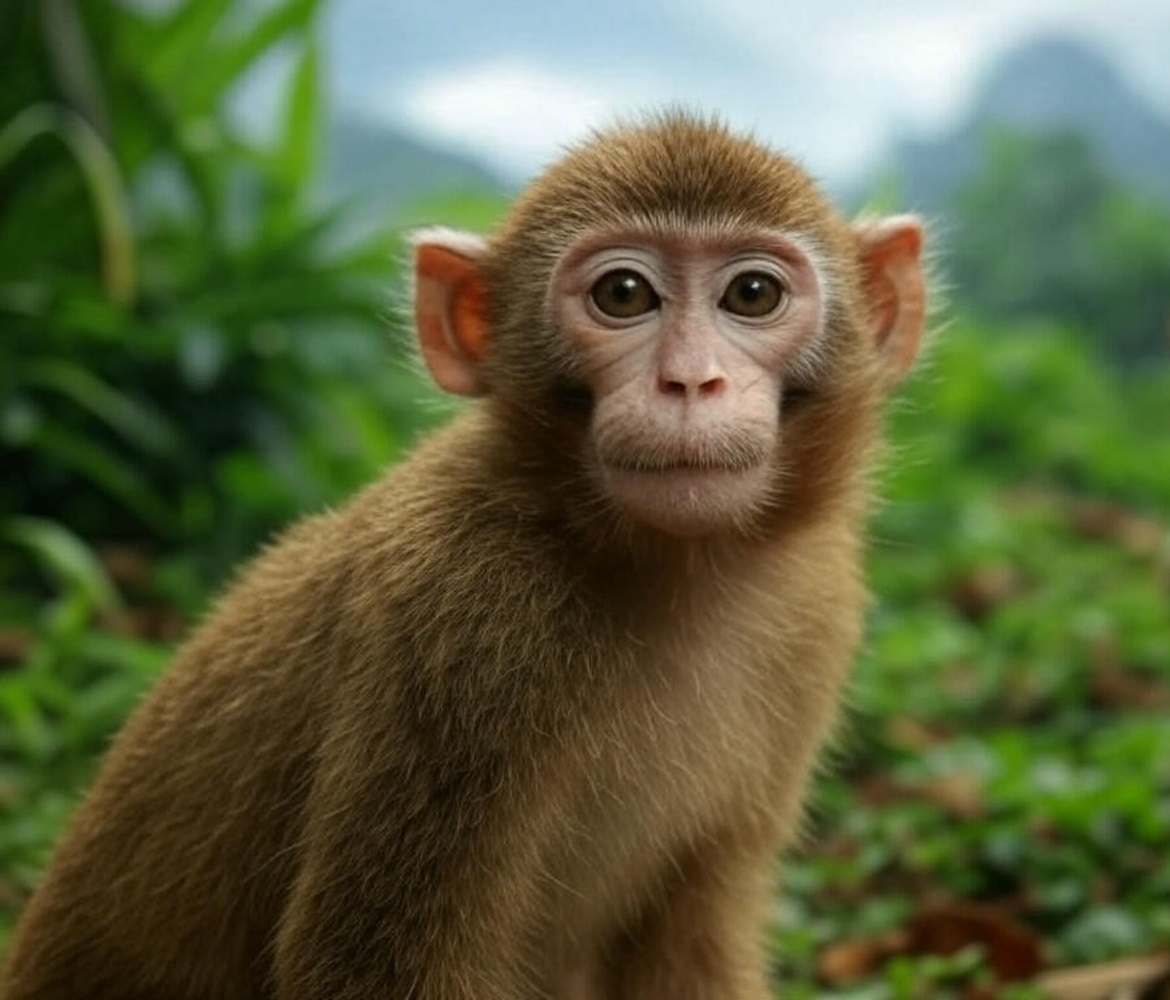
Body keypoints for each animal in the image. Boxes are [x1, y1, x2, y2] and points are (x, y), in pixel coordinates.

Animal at [0, 112, 927, 1000]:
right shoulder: (468, 623)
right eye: (624, 294)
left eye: (753, 293)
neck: (663, 567)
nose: (692, 382)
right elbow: (370, 972)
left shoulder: (816, 611)